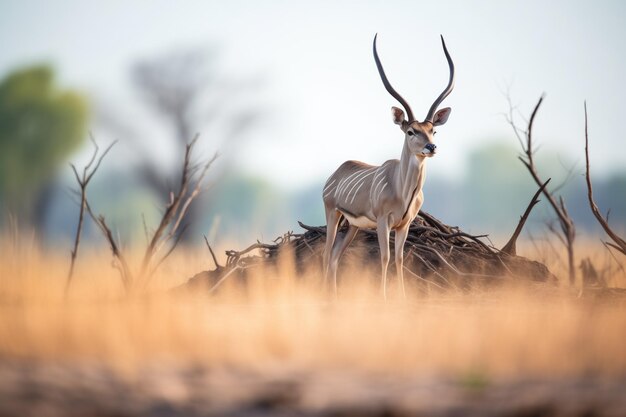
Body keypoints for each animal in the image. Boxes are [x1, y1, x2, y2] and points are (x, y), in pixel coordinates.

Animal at [322, 35, 454, 296]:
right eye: (411, 131)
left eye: (433, 130)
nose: (431, 147)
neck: (401, 188)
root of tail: (336, 174)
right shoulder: (383, 223)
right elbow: (384, 257)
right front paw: (383, 296)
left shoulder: (404, 226)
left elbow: (400, 259)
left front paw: (401, 297)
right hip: (333, 214)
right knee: (326, 253)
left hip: (351, 226)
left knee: (334, 256)